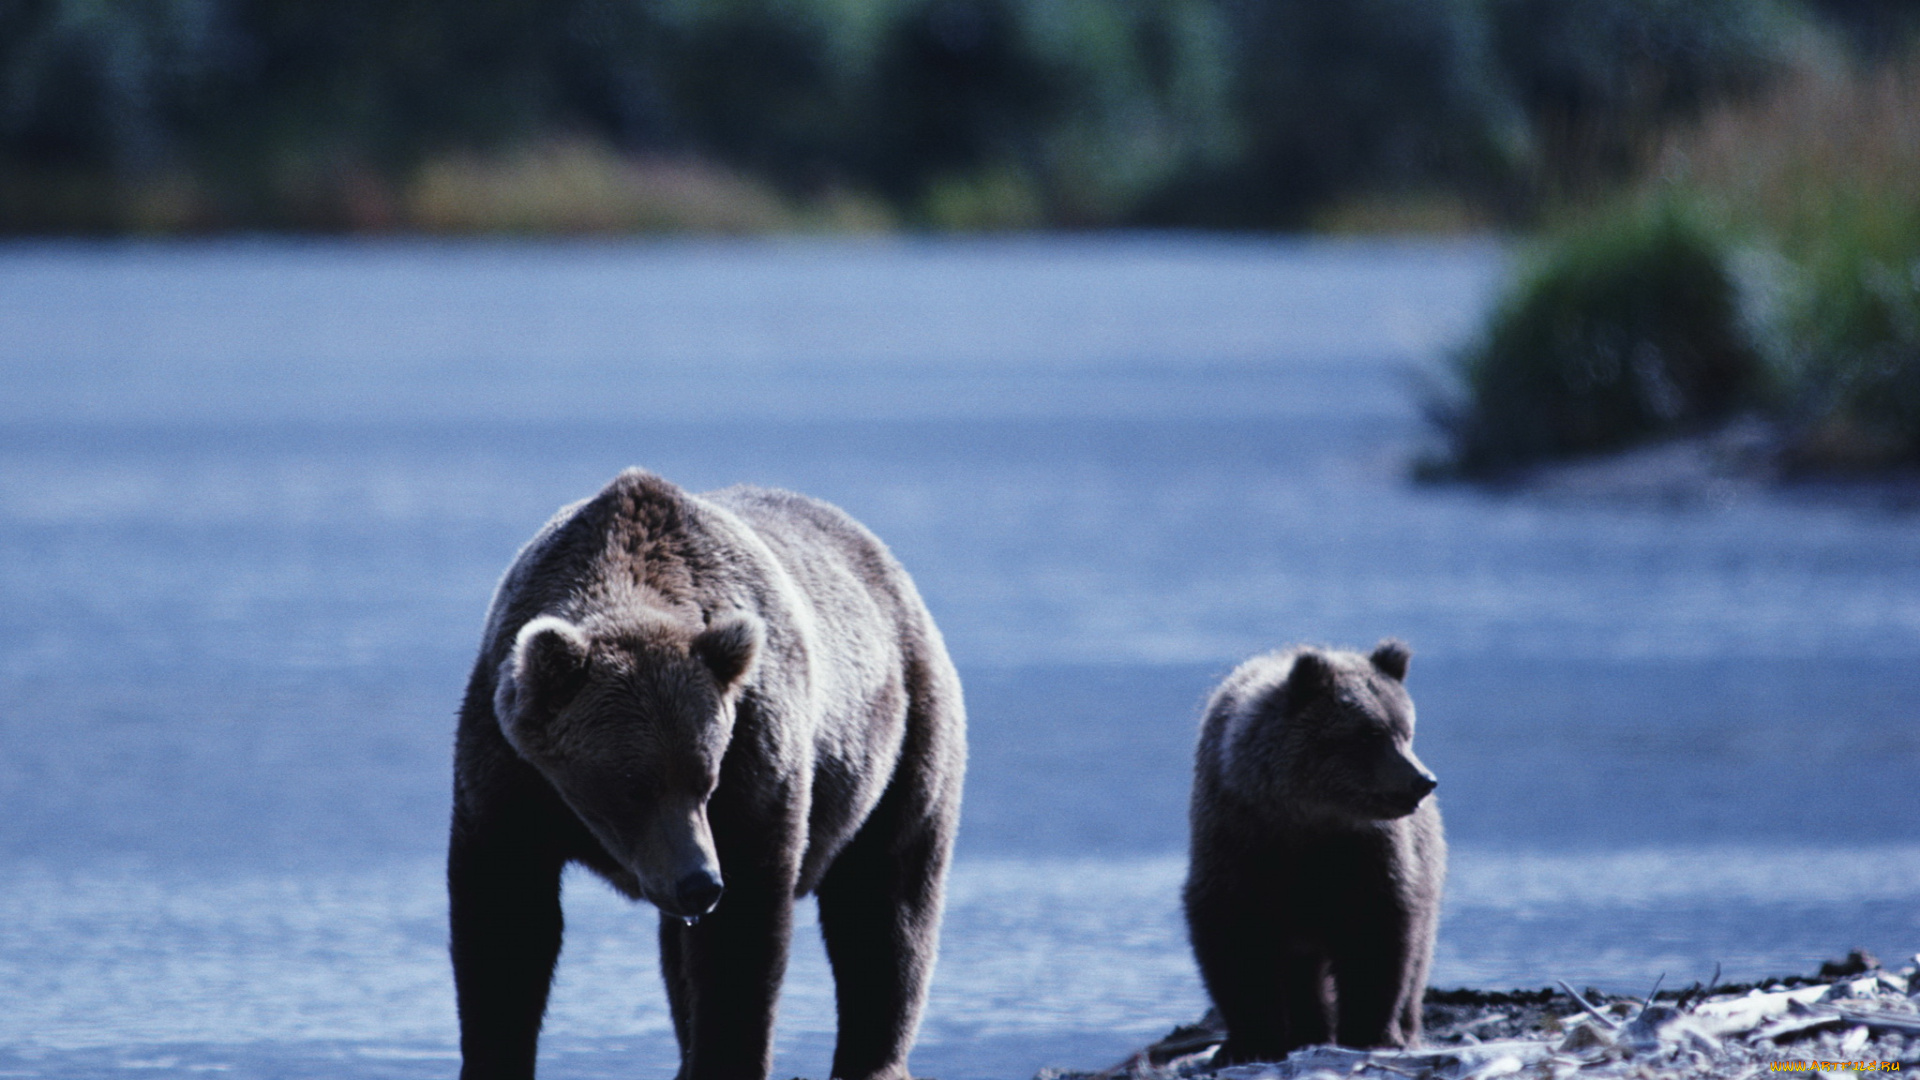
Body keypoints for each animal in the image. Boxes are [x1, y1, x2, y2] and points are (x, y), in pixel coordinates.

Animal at [445, 466, 960, 1076]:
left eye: (706, 778)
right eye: (632, 785)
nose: (700, 883)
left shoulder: (755, 757)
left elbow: (740, 937)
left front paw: (728, 1055)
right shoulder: (507, 774)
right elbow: (505, 923)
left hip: (906, 737)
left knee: (888, 904)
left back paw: (873, 1056)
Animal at [1182, 638, 1443, 1060]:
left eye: (1405, 730)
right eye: (1368, 733)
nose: (1422, 780)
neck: (1307, 818)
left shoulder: (1365, 852)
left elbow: (1378, 931)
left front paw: (1371, 1032)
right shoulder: (1239, 841)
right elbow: (1234, 938)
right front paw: (1251, 1041)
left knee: (1417, 953)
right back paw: (1308, 1031)